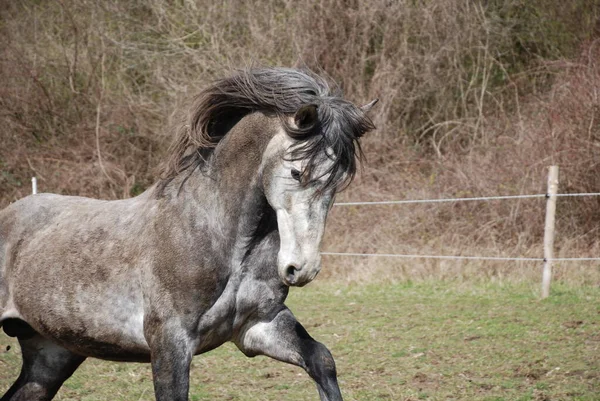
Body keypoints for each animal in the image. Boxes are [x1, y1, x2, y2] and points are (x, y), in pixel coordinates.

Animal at [0, 67, 376, 398]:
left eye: (339, 181)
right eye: (297, 172)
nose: (302, 269)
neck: (220, 239)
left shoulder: (258, 326)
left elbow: (322, 359)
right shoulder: (170, 342)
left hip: (51, 354)